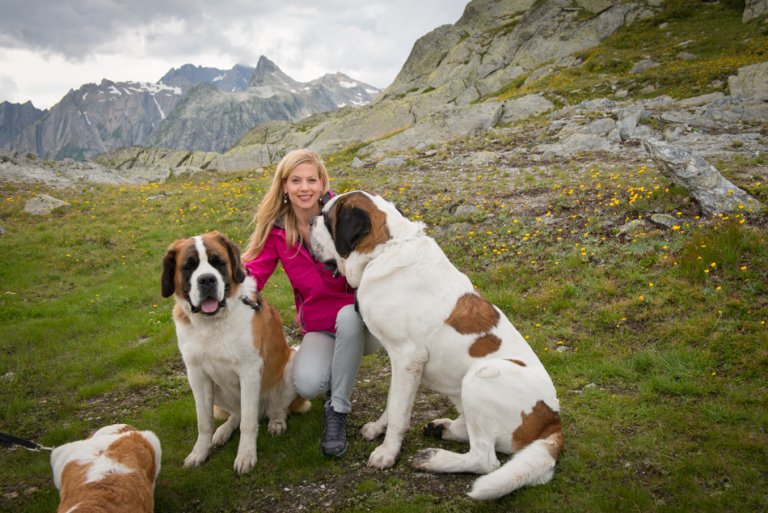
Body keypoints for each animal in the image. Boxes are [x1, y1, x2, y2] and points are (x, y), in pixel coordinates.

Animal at [161, 231, 308, 472]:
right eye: (188, 266)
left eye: (218, 262)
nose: (207, 280)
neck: (212, 323)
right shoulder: (196, 375)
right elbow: (204, 421)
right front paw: (199, 452)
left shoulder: (249, 371)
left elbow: (248, 422)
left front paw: (246, 456)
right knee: (236, 414)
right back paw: (223, 431)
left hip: (291, 363)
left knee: (276, 408)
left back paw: (276, 422)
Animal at [308, 190, 568, 498]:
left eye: (326, 218)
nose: (310, 221)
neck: (384, 249)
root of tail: (553, 422)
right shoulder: (403, 365)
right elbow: (394, 402)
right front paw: (378, 429)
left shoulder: (407, 358)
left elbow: (398, 412)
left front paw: (387, 453)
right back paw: (443, 428)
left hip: (481, 376)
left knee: (485, 459)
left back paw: (433, 459)